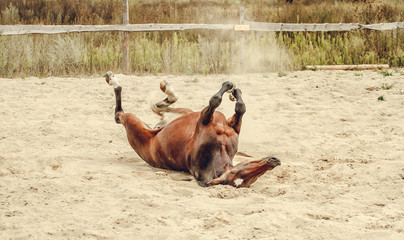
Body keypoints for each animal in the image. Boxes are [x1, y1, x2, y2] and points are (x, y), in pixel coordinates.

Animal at [105, 71, 280, 188]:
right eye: (242, 171)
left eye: (251, 177)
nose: (273, 161)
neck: (219, 150)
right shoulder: (213, 121)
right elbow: (230, 104)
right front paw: (233, 90)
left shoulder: (209, 120)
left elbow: (222, 102)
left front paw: (232, 90)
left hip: (134, 124)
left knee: (119, 114)